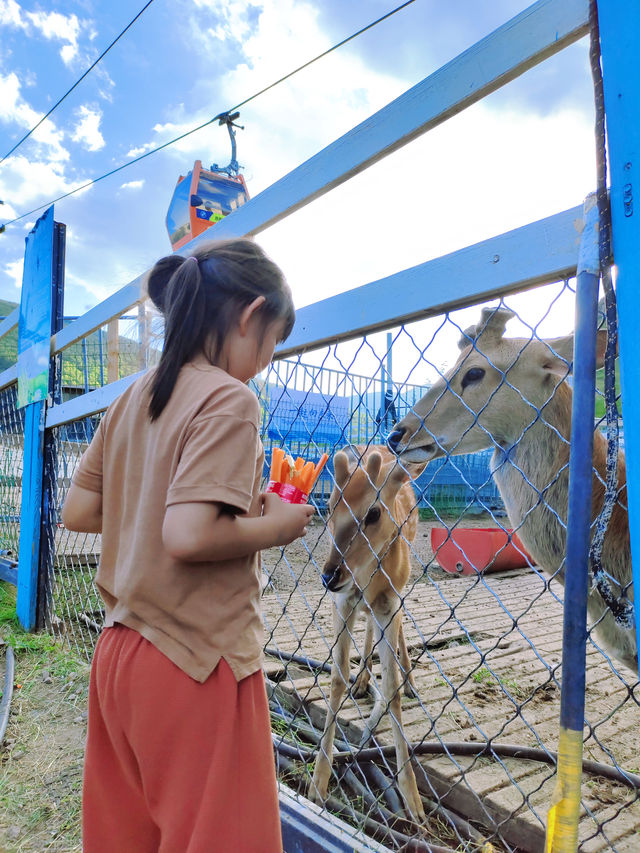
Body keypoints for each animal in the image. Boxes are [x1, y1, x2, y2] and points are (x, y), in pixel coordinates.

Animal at [310, 446, 424, 824]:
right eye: (330, 505)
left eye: (373, 512)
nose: (330, 575)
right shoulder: (342, 602)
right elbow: (336, 677)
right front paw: (318, 782)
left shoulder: (390, 601)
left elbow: (392, 689)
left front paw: (413, 801)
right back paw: (361, 681)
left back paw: (409, 679)